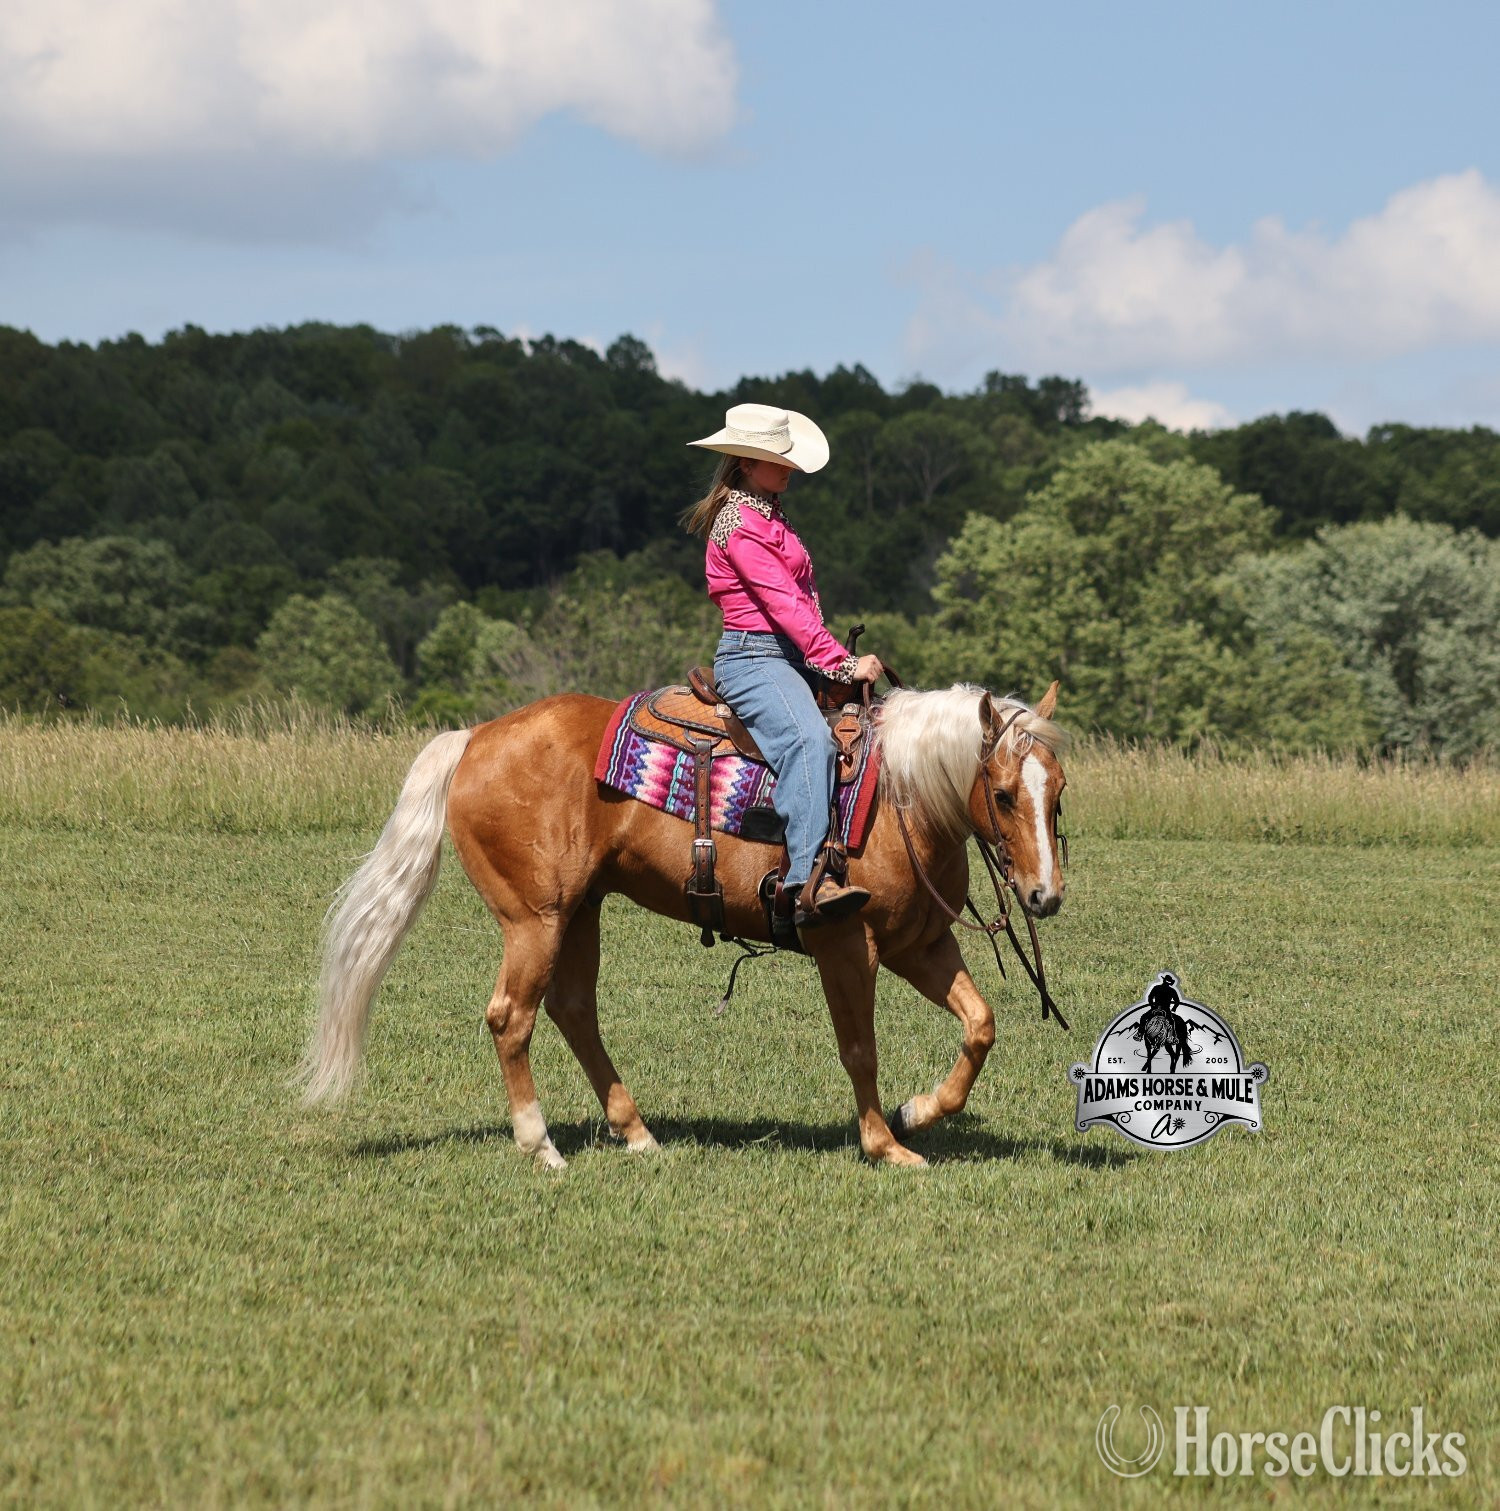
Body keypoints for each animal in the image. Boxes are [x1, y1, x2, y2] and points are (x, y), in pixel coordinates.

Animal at [297, 682, 1068, 1168]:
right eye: (1003, 794)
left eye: (1057, 791)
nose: (1044, 896)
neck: (901, 798)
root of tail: (476, 736)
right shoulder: (845, 944)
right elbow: (860, 1050)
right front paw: (887, 1145)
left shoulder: (920, 943)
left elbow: (980, 1024)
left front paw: (917, 1111)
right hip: (534, 919)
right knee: (511, 1015)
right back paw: (540, 1145)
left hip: (580, 911)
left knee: (573, 1010)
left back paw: (636, 1133)